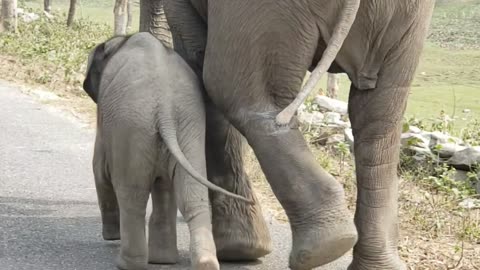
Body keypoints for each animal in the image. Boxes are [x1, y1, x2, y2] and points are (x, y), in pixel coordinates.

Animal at [83, 33, 251, 270]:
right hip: (188, 129)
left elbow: (100, 169)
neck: (122, 41)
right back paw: (195, 263)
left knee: (132, 195)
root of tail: (164, 111)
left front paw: (112, 237)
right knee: (191, 196)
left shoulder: (106, 120)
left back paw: (128, 264)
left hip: (133, 125)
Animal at [142, 1, 436, 268]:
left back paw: (325, 245)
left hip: (263, 9)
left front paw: (239, 250)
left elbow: (197, 59)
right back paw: (351, 252)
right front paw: (243, 249)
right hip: (408, 17)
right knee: (382, 115)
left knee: (235, 90)